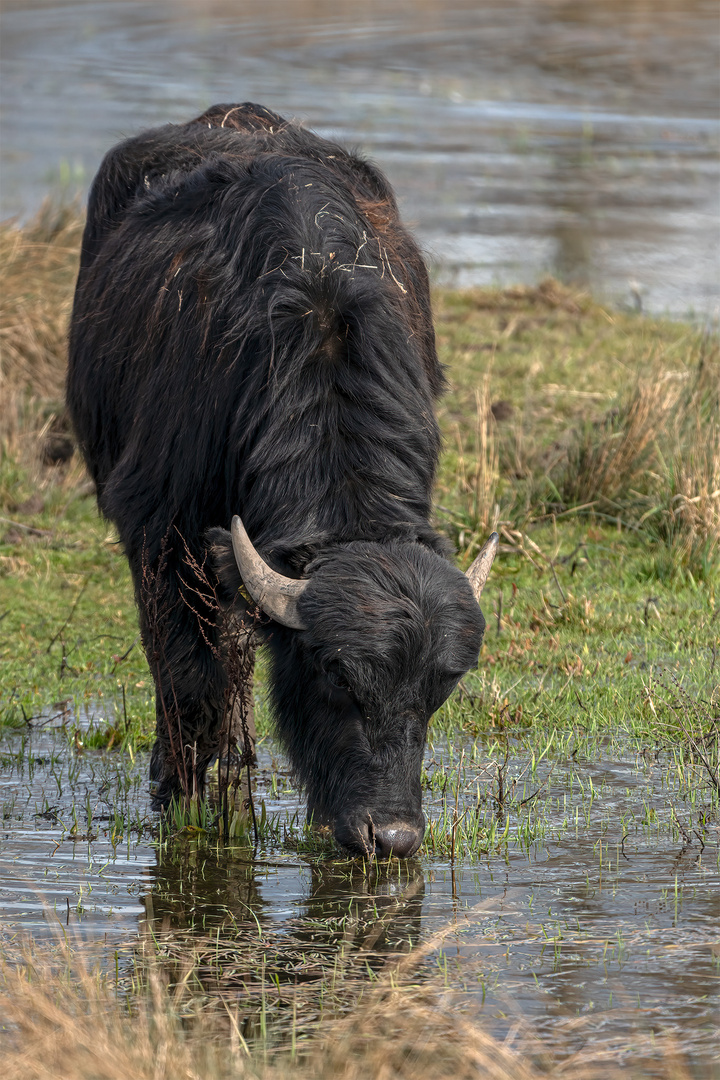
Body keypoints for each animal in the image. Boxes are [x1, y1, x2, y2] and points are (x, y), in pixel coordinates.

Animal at [67, 103, 498, 859]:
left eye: (438, 692)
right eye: (337, 678)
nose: (391, 835)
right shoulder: (159, 528)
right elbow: (191, 680)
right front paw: (189, 797)